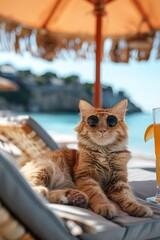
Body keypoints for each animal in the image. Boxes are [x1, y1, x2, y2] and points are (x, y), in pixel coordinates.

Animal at [20, 98, 153, 218]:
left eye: (112, 121)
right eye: (93, 122)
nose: (102, 130)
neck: (105, 152)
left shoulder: (119, 182)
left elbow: (129, 197)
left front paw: (138, 207)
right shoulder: (87, 177)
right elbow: (98, 195)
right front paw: (105, 206)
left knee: (50, 194)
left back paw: (73, 197)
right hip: (45, 168)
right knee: (38, 189)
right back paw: (47, 192)